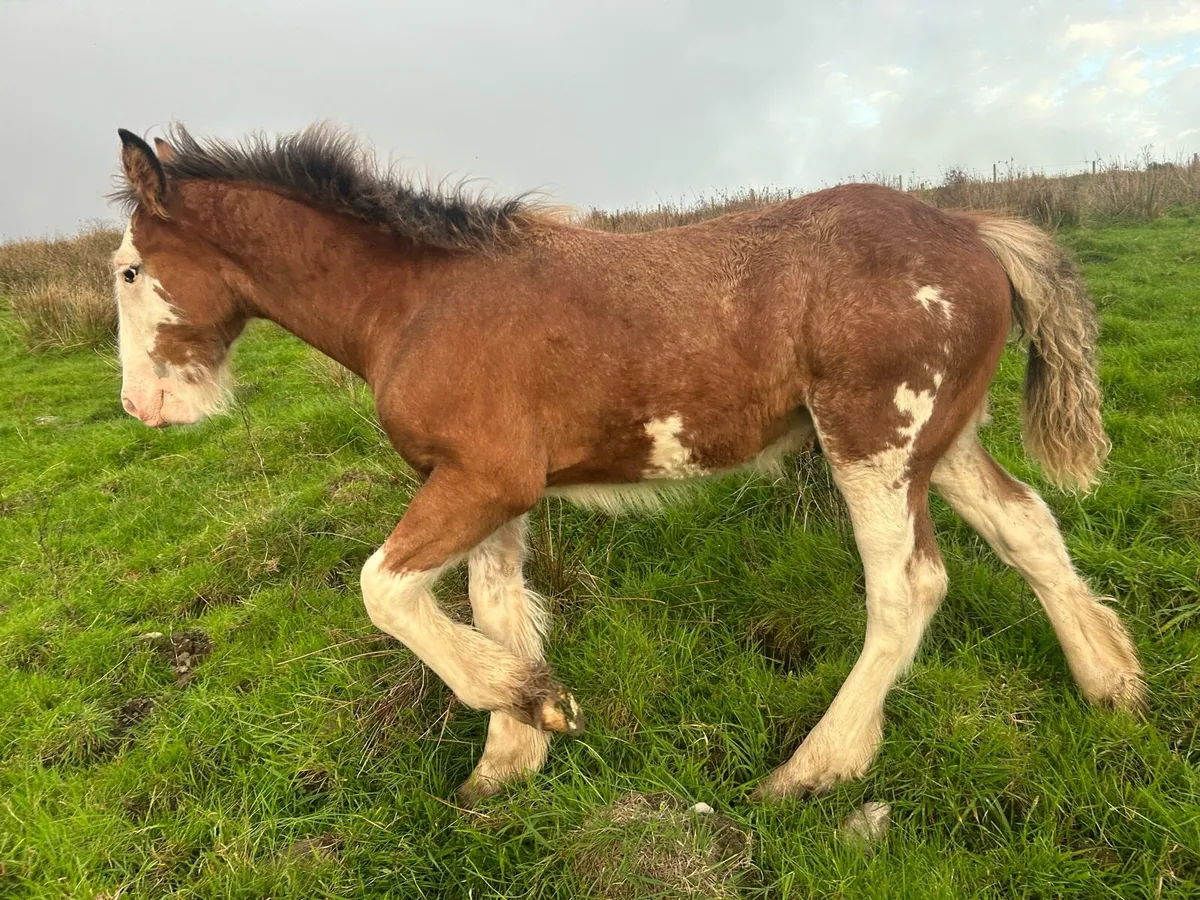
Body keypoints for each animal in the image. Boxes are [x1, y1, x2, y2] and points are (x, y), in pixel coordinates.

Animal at [110, 124, 1145, 802]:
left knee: (908, 587)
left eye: (126, 270)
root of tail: (975, 230)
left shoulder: (485, 481)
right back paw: (1113, 685)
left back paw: (816, 767)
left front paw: (535, 705)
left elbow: (385, 591)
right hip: (943, 442)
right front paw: (508, 761)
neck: (418, 302)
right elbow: (493, 604)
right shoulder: (488, 490)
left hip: (874, 444)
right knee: (1027, 525)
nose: (141, 408)